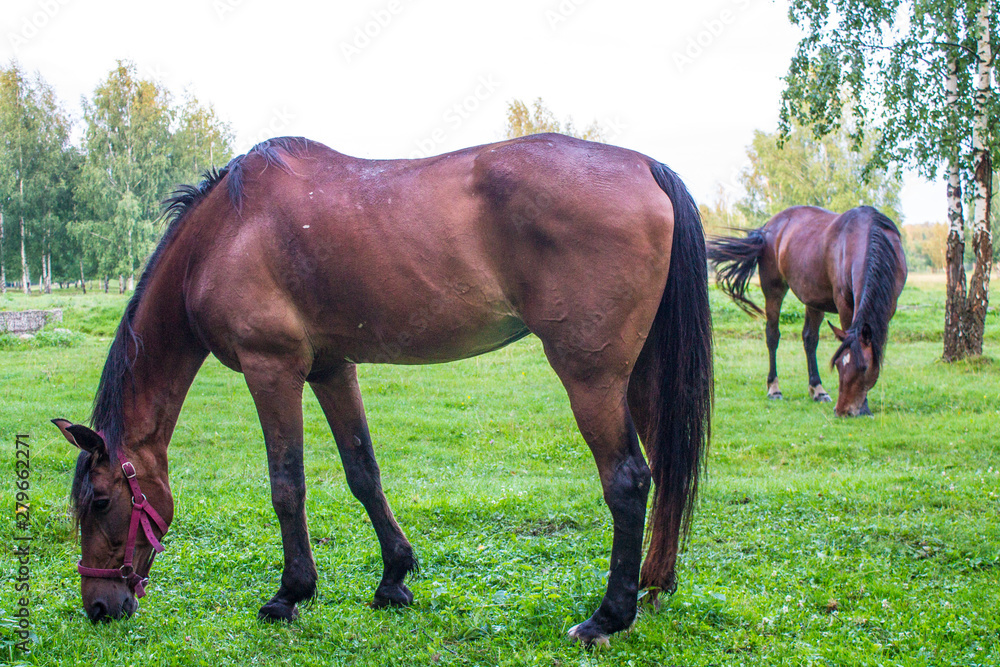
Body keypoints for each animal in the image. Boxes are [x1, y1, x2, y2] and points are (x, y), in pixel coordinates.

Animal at [52, 133, 713, 646]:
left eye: (102, 501)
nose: (99, 606)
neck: (225, 233)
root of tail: (645, 166)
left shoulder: (274, 369)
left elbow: (287, 485)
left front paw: (289, 594)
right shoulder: (331, 368)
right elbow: (362, 472)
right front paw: (394, 577)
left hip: (592, 379)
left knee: (628, 480)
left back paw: (607, 618)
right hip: (640, 376)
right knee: (665, 471)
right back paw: (654, 584)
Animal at [707, 205, 906, 417]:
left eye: (864, 367)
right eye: (837, 365)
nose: (841, 410)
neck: (868, 234)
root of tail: (766, 228)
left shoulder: (890, 305)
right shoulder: (844, 303)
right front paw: (864, 406)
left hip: (814, 300)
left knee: (810, 339)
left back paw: (818, 389)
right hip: (774, 291)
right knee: (772, 336)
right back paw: (774, 388)